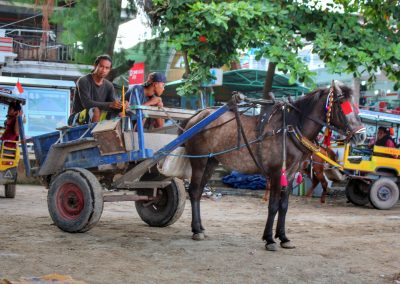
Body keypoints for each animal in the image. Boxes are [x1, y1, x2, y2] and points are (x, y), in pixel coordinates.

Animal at [181, 84, 366, 251]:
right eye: (342, 105)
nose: (362, 135)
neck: (290, 129)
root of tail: (197, 116)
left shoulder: (290, 174)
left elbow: (284, 206)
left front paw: (283, 237)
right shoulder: (277, 173)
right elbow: (273, 206)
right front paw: (269, 239)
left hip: (211, 162)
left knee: (199, 191)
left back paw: (200, 227)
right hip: (199, 161)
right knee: (194, 191)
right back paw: (196, 230)